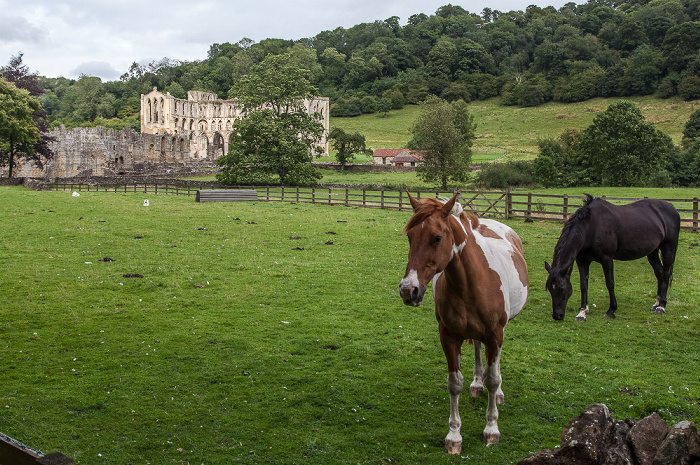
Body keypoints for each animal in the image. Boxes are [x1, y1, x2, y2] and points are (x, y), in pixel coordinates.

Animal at [396, 192, 528, 454]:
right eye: (410, 237)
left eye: (437, 238)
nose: (408, 290)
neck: (472, 282)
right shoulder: (448, 336)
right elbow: (454, 383)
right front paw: (454, 436)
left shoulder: (495, 334)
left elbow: (493, 379)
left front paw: (491, 429)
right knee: (477, 350)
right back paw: (476, 384)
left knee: (494, 366)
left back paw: (497, 392)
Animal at [544, 193, 680, 320]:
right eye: (550, 289)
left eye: (561, 289)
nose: (557, 316)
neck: (590, 227)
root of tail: (672, 207)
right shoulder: (582, 260)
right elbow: (583, 285)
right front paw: (582, 313)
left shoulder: (607, 258)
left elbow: (610, 283)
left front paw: (611, 310)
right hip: (652, 252)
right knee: (660, 273)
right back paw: (656, 303)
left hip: (668, 248)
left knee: (666, 274)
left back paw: (661, 306)